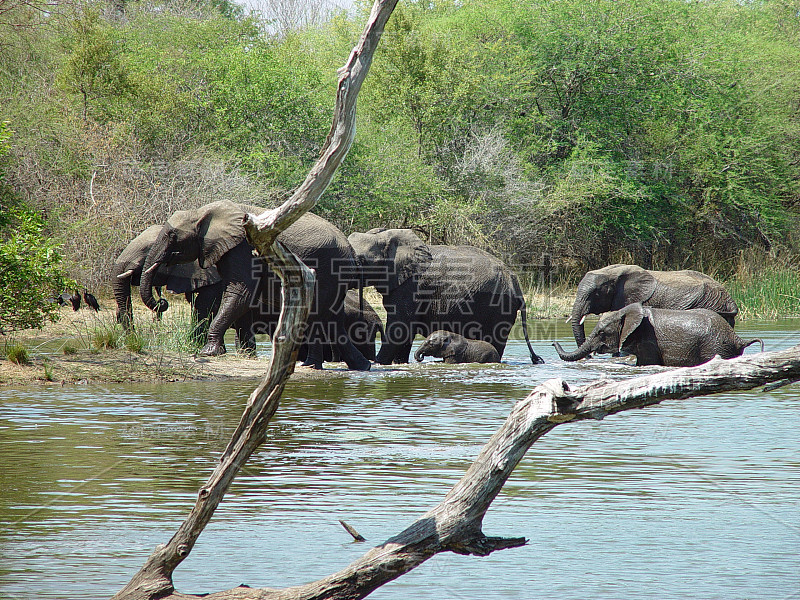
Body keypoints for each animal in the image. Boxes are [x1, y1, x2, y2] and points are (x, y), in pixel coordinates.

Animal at [139, 202, 370, 370]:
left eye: (172, 235)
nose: (162, 302)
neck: (201, 212)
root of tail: (350, 248)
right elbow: (240, 298)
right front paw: (232, 353)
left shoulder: (243, 248)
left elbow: (241, 293)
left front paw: (209, 352)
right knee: (330, 319)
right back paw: (359, 367)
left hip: (329, 270)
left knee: (318, 315)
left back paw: (314, 365)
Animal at [346, 227, 540, 364]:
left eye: (362, 261)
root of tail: (516, 285)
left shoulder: (411, 286)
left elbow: (400, 326)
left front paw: (378, 363)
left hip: (498, 306)